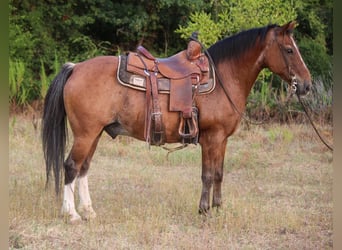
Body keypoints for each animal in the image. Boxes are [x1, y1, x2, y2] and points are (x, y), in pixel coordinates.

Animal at [41, 21, 312, 224]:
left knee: (83, 168)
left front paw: (219, 208)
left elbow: (219, 174)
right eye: (289, 50)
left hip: (94, 134)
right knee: (71, 166)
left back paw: (88, 211)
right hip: (85, 134)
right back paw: (71, 214)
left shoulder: (222, 139)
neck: (224, 78)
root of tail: (75, 68)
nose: (306, 85)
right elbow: (207, 175)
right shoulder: (211, 138)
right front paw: (204, 211)